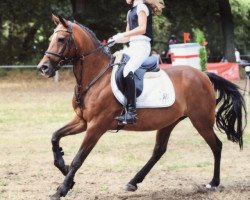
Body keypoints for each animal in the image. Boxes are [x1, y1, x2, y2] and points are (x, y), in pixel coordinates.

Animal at [37, 15, 246, 200]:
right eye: (50, 39)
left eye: (61, 39)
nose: (43, 68)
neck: (95, 77)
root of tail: (203, 75)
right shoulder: (82, 121)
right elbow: (55, 137)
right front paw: (64, 170)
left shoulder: (97, 126)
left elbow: (78, 159)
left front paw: (62, 189)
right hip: (169, 121)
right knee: (159, 150)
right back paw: (133, 182)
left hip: (200, 120)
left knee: (216, 146)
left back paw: (213, 182)